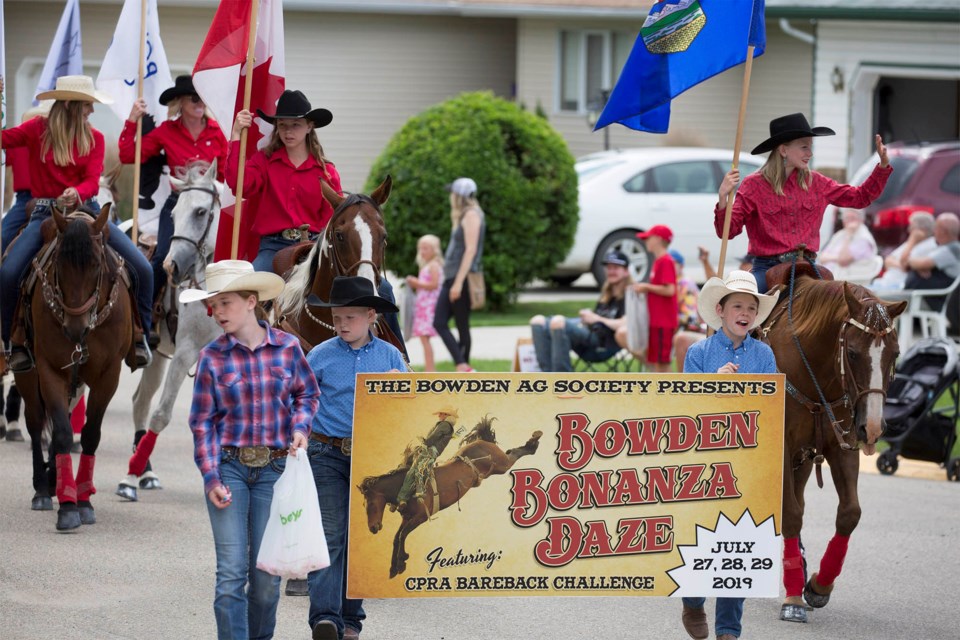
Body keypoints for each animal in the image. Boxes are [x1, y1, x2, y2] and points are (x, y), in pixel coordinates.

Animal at [13, 204, 132, 528]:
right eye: (59, 267)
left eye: (96, 265)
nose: (74, 329)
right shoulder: (50, 370)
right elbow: (64, 433)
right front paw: (68, 507)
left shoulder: (109, 375)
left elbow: (89, 433)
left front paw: (83, 500)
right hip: (28, 375)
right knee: (36, 421)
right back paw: (43, 489)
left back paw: (56, 481)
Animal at [116, 160, 223, 500]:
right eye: (173, 214)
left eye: (201, 211)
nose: (172, 266)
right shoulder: (186, 352)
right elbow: (162, 414)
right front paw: (126, 480)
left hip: (158, 356)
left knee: (139, 401)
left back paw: (146, 472)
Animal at [356, 420, 544, 580]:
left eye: (370, 503)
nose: (373, 528)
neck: (407, 487)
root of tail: (483, 441)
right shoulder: (407, 518)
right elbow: (397, 537)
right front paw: (394, 568)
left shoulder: (420, 517)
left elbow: (402, 535)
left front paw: (401, 563)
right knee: (510, 452)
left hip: (501, 464)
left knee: (513, 455)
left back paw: (533, 443)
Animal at [756, 272, 908, 624]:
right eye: (851, 352)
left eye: (894, 353)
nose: (874, 427)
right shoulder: (782, 447)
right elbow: (791, 514)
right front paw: (794, 597)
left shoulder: (843, 445)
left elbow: (849, 513)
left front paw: (817, 585)